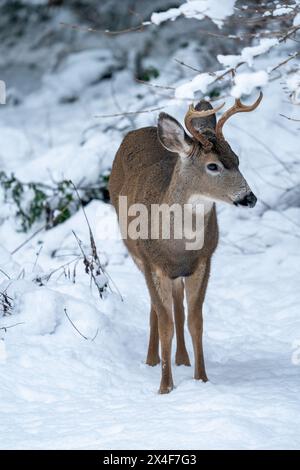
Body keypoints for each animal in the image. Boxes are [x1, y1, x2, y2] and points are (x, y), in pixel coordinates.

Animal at [109, 92, 262, 392]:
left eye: (237, 159)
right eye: (213, 165)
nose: (249, 198)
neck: (178, 245)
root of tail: (140, 130)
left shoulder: (203, 261)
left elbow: (195, 321)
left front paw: (201, 378)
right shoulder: (151, 263)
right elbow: (165, 322)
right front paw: (165, 387)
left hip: (176, 273)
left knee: (177, 305)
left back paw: (181, 359)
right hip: (137, 256)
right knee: (157, 310)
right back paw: (152, 359)